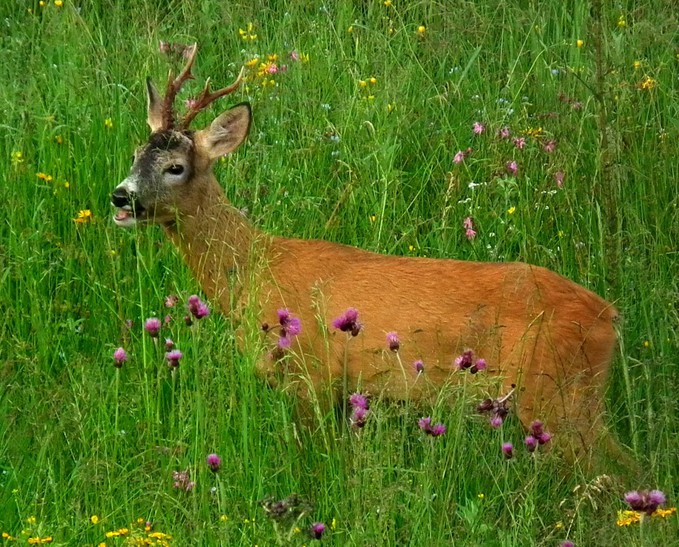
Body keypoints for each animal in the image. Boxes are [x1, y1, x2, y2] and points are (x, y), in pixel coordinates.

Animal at [110, 44, 628, 470]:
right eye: (136, 153)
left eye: (176, 167)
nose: (120, 197)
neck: (256, 266)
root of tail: (609, 315)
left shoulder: (313, 377)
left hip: (557, 393)